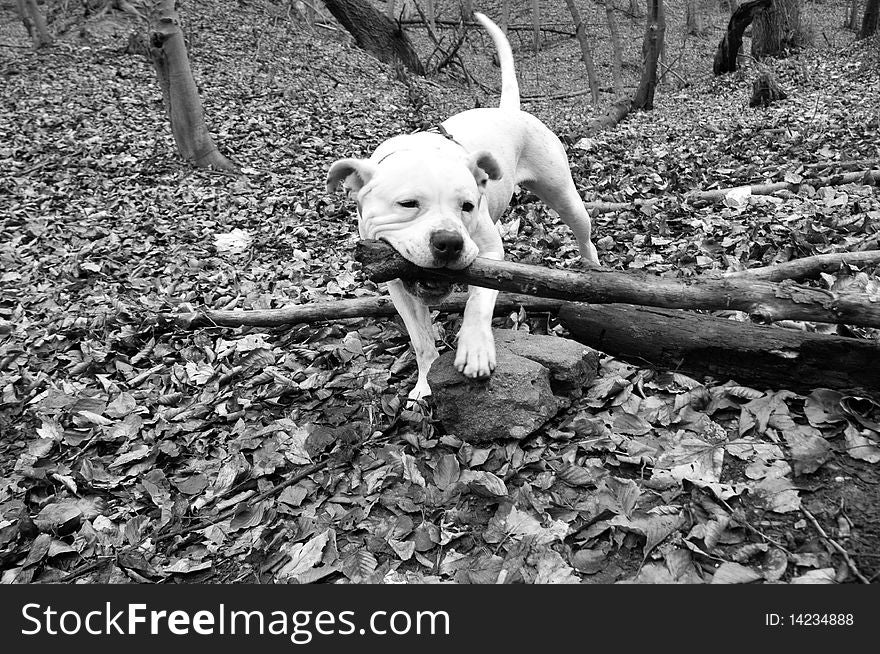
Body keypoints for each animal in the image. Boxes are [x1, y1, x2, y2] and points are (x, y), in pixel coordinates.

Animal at [326, 11, 600, 400]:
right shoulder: (396, 285)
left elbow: (479, 301)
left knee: (584, 233)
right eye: (407, 203)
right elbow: (421, 339)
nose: (449, 242)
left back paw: (592, 271)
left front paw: (476, 348)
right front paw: (424, 383)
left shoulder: (488, 253)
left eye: (467, 206)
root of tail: (509, 111)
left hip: (563, 195)